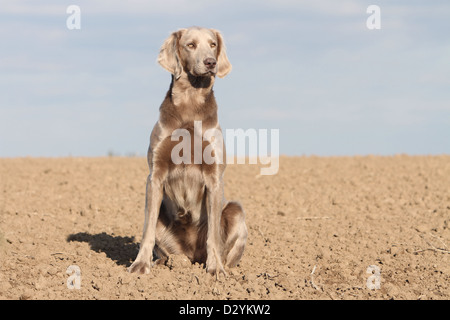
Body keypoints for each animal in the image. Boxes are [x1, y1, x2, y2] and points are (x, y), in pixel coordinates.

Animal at [128, 26, 248, 276]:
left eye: (213, 44)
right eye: (190, 45)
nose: (211, 62)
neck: (190, 102)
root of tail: (192, 255)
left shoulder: (214, 176)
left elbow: (213, 235)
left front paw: (215, 269)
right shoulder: (155, 175)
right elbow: (147, 230)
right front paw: (140, 265)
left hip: (236, 210)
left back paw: (224, 268)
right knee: (163, 246)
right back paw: (163, 263)